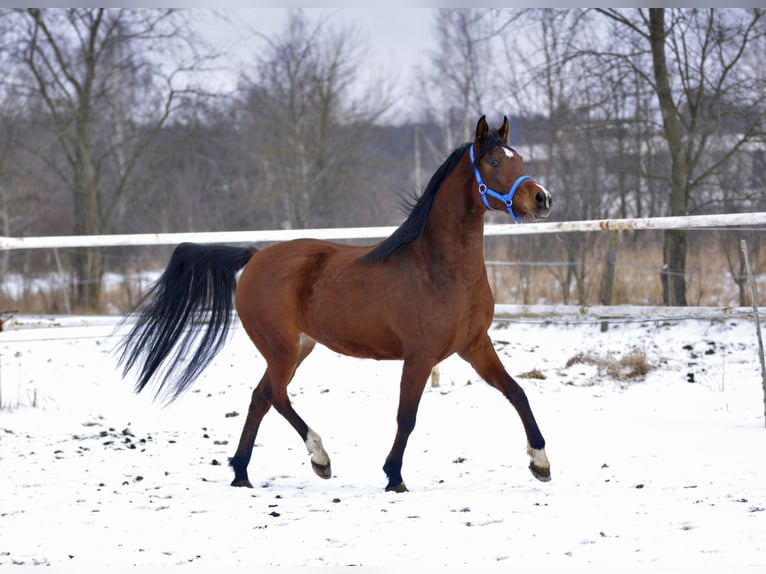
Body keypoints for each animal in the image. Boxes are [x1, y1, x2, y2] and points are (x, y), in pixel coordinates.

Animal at [118, 115, 553, 492]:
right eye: (494, 161)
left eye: (520, 158)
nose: (542, 198)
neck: (440, 270)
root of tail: (255, 257)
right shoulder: (420, 355)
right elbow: (407, 416)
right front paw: (394, 476)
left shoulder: (475, 345)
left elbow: (517, 392)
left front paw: (541, 462)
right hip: (281, 347)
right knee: (275, 396)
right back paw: (320, 457)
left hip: (297, 348)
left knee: (260, 398)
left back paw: (241, 473)